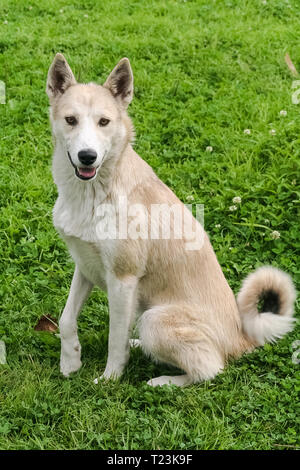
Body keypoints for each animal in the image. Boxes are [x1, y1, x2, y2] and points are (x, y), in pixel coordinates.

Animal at [45, 54, 296, 386]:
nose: (88, 156)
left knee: (210, 368)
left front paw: (110, 379)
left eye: (104, 122)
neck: (94, 193)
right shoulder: (85, 266)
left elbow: (114, 339)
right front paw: (70, 362)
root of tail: (242, 338)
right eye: (71, 120)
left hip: (155, 318)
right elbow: (66, 319)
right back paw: (139, 346)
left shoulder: (123, 280)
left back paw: (163, 382)